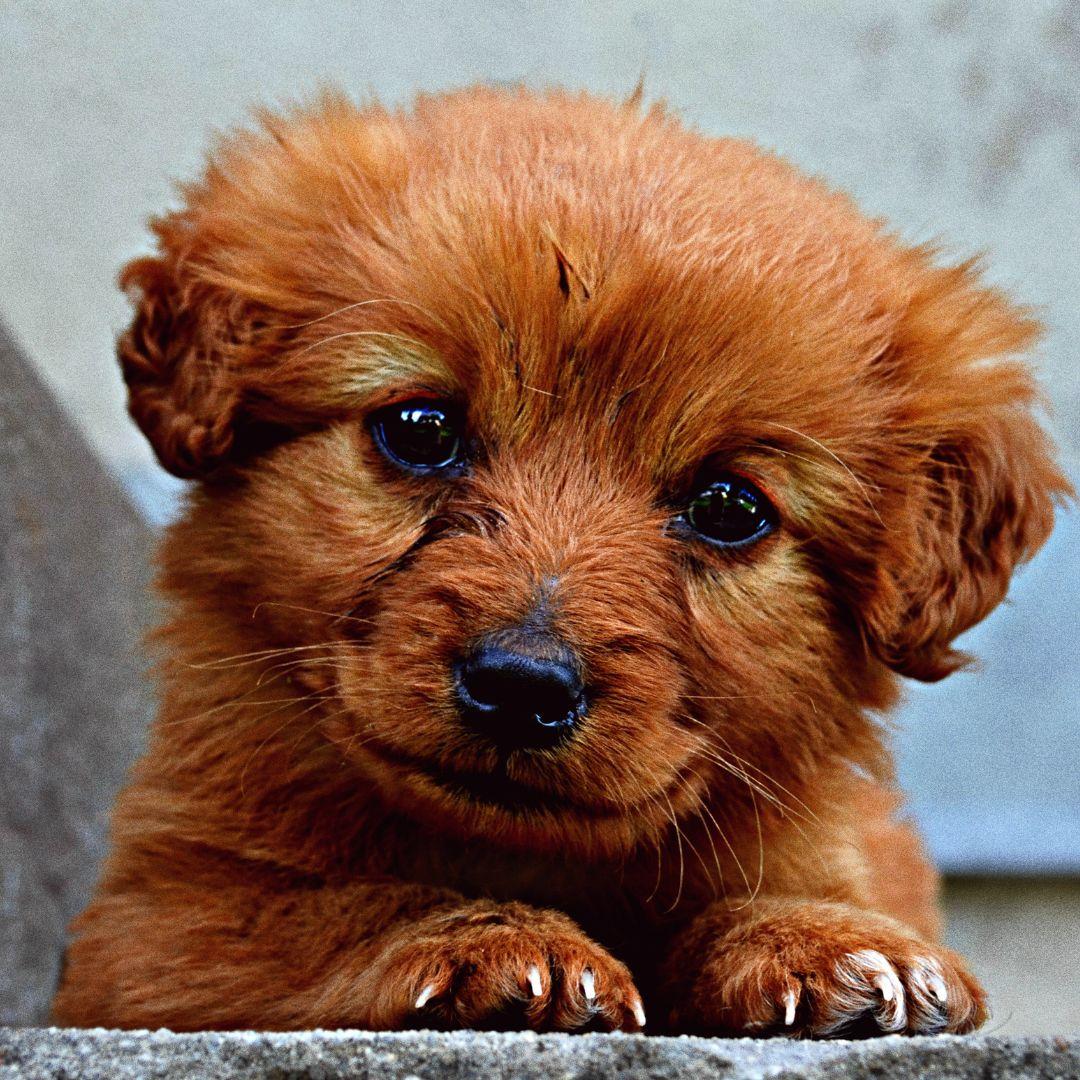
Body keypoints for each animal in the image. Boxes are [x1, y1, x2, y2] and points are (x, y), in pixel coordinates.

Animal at [54, 86, 1067, 1036]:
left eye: (730, 508)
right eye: (421, 429)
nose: (521, 685)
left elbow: (784, 894)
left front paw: (826, 940)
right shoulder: (150, 927)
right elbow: (335, 909)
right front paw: (496, 942)